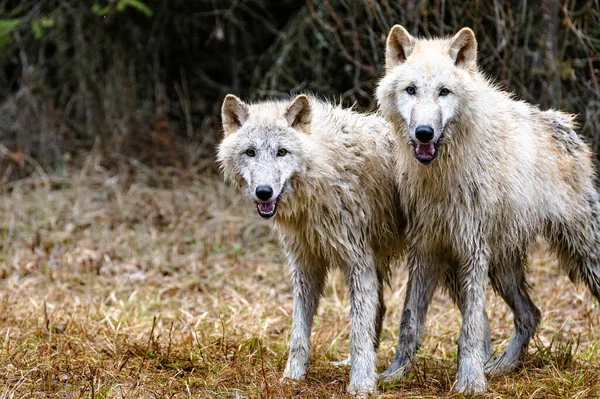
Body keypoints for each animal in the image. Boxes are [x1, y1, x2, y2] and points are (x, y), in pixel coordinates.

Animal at [378, 26, 600, 396]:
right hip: (495, 268)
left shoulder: (472, 251)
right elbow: (410, 319)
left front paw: (469, 380)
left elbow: (469, 329)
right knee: (530, 315)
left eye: (444, 92)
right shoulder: (426, 250)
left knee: (524, 315)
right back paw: (500, 366)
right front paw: (395, 373)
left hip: (579, 251)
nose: (424, 133)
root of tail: (565, 123)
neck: (441, 177)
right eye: (411, 90)